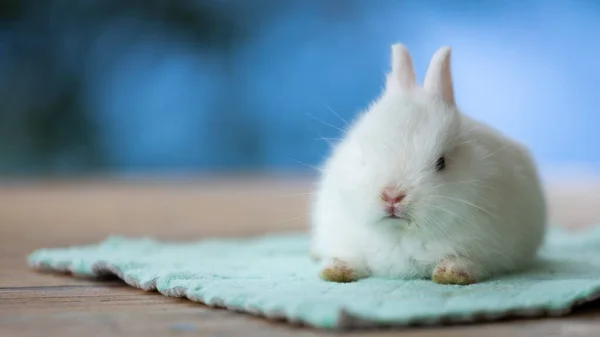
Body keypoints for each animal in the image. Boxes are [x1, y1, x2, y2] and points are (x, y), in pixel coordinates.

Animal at [310, 42, 548, 284]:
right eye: (364, 157)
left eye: (441, 163)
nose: (392, 196)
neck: (400, 234)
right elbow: (350, 257)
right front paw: (336, 270)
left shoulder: (486, 250)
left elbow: (468, 261)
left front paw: (451, 273)